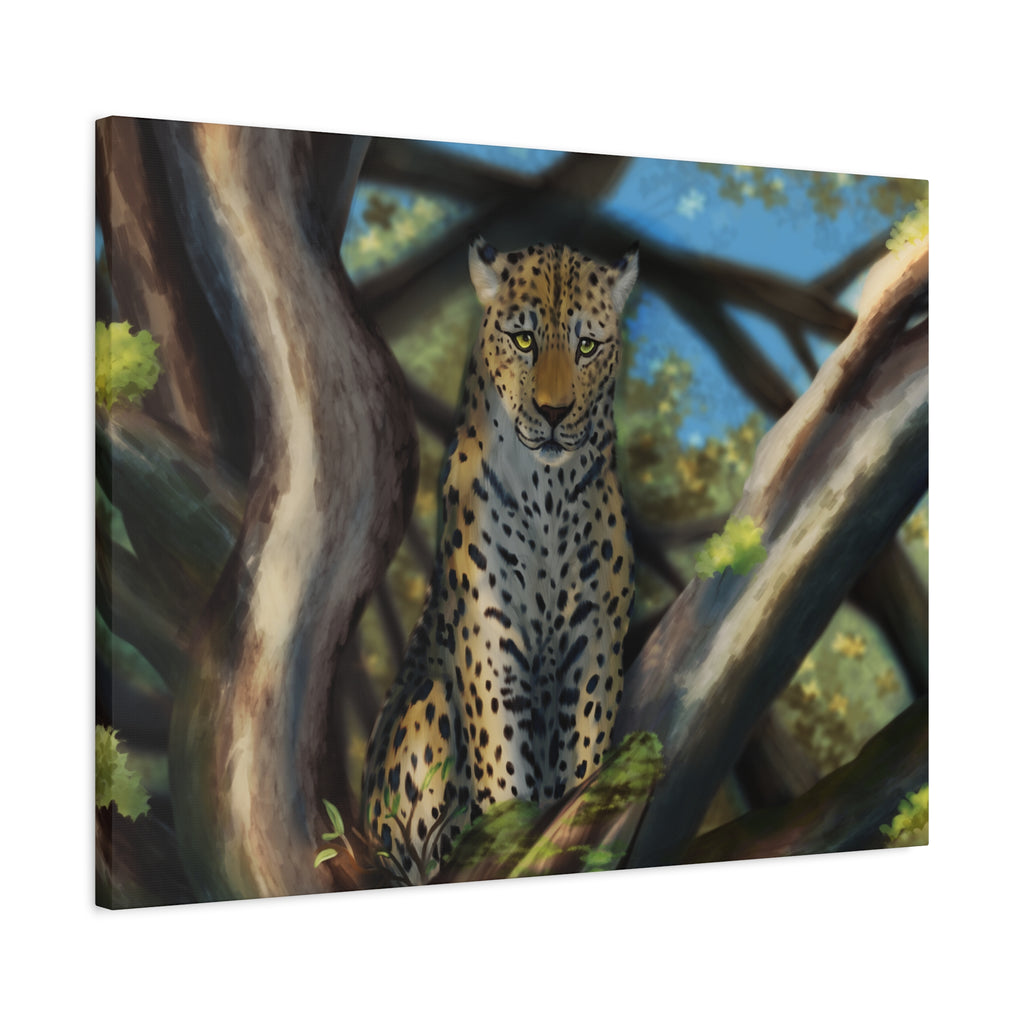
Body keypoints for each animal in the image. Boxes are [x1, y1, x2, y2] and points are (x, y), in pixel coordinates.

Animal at [361, 236, 638, 884]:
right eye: (524, 339)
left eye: (587, 346)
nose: (555, 412)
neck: (547, 492)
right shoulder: (489, 635)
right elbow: (500, 756)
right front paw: (511, 831)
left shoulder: (596, 634)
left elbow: (585, 746)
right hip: (426, 709)